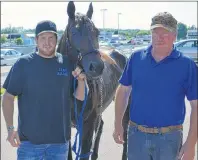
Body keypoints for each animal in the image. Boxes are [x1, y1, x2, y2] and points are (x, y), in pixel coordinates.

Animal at [56, 0, 130, 159]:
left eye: (97, 32)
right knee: (101, 125)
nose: (97, 67)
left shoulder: (88, 125)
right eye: (74, 32)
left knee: (125, 131)